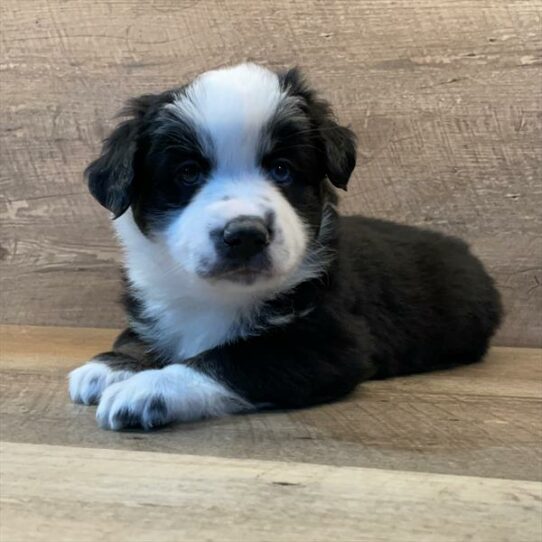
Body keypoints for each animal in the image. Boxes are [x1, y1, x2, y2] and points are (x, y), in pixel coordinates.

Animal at [69, 63, 506, 432]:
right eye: (188, 173)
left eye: (282, 169)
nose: (245, 234)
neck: (219, 295)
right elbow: (136, 336)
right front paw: (111, 366)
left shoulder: (329, 341)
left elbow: (231, 358)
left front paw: (148, 388)